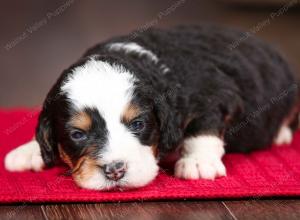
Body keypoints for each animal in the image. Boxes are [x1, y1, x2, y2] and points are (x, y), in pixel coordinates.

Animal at [3, 25, 298, 191]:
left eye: (138, 124)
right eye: (77, 134)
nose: (115, 171)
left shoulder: (216, 94)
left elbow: (203, 127)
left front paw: (198, 162)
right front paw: (30, 151)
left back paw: (281, 134)